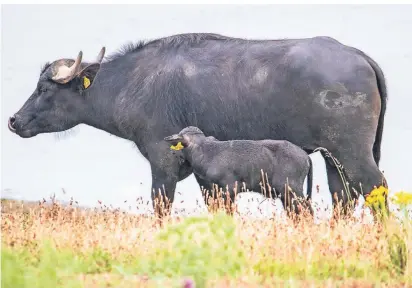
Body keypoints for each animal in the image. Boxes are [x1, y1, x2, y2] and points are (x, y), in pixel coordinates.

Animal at [8, 33, 388, 218]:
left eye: (44, 89)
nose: (13, 120)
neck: (132, 82)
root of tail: (357, 55)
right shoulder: (209, 181)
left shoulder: (162, 161)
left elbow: (160, 205)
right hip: (332, 157)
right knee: (343, 196)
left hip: (353, 153)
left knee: (375, 188)